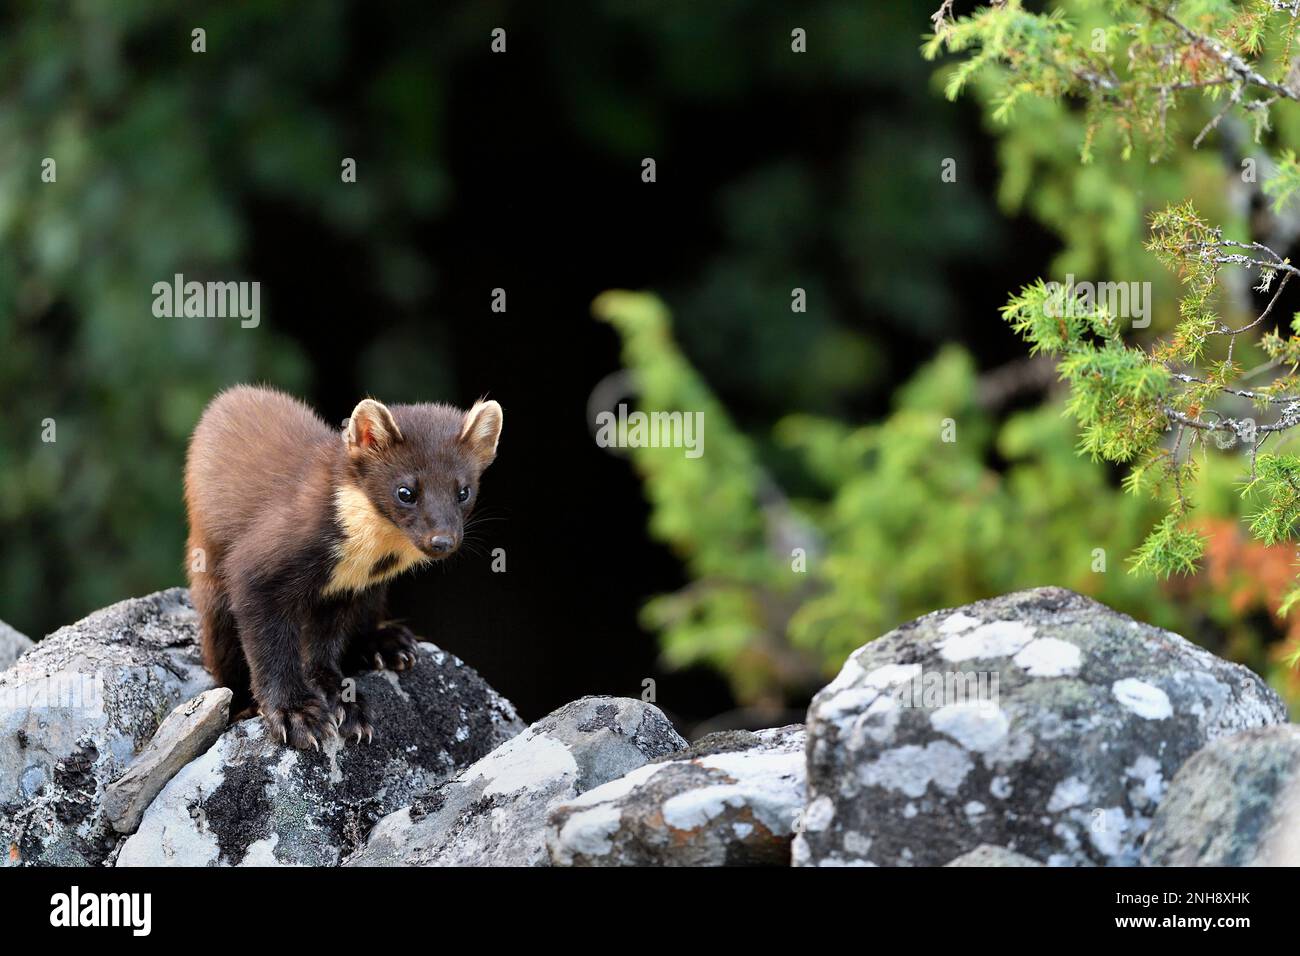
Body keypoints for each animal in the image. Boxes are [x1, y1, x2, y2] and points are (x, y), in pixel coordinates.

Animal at [183, 385, 502, 749]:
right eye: (406, 491)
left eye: (463, 491)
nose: (442, 540)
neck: (366, 561)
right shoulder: (256, 567)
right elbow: (271, 650)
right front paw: (295, 713)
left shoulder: (347, 591)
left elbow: (324, 649)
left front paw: (343, 701)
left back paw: (388, 644)